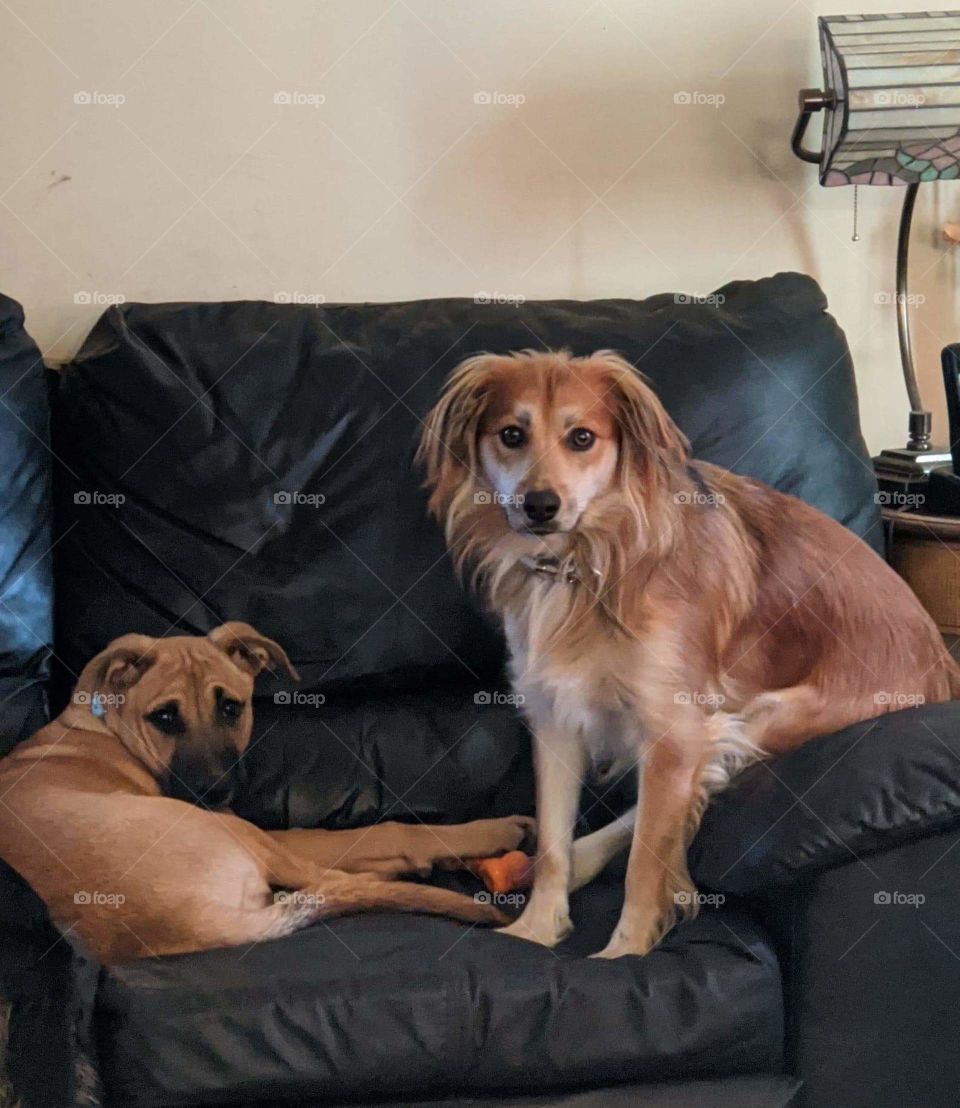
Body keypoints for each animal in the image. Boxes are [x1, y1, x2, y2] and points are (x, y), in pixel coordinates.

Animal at [0, 624, 532, 961]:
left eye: (231, 708)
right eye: (165, 717)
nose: (217, 791)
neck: (114, 731)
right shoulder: (263, 830)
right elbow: (382, 832)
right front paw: (496, 829)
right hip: (229, 831)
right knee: (333, 878)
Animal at [414, 350, 953, 957]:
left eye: (582, 438)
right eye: (511, 434)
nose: (540, 506)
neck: (587, 562)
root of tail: (942, 659)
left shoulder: (674, 728)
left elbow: (646, 862)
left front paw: (625, 952)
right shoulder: (555, 716)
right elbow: (552, 839)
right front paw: (537, 929)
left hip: (772, 713)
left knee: (697, 782)